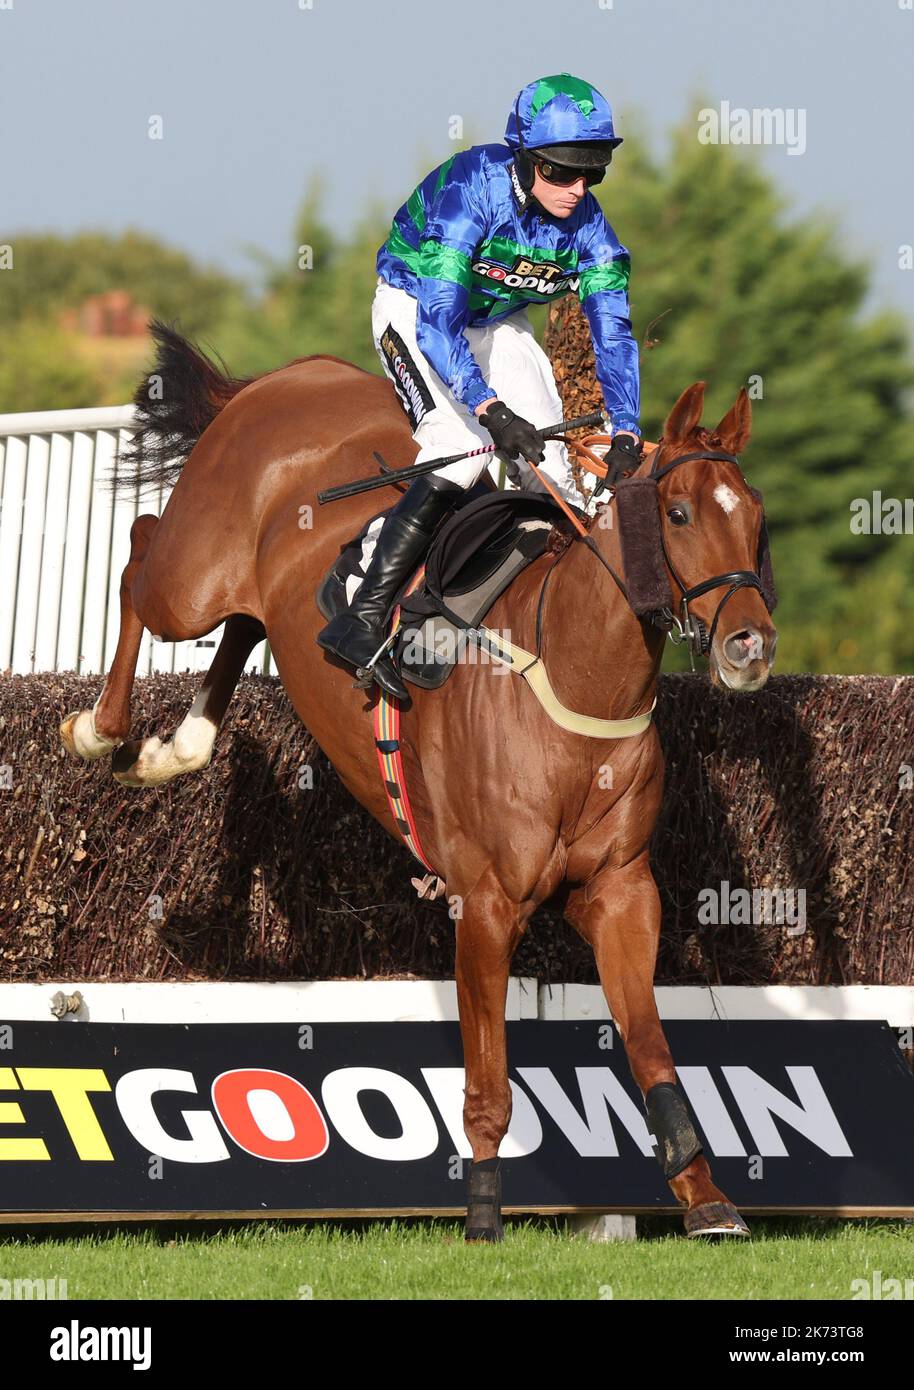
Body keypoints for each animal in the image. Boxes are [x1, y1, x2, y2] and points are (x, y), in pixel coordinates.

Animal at [62, 325, 777, 1239]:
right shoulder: (486, 901)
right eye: (680, 514)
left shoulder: (621, 891)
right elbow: (488, 1082)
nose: (751, 646)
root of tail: (287, 378)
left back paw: (174, 745)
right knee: (141, 551)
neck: (573, 678)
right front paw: (483, 1213)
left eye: (754, 518)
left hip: (253, 599)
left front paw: (704, 1196)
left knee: (244, 627)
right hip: (190, 579)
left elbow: (652, 1046)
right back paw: (101, 729)